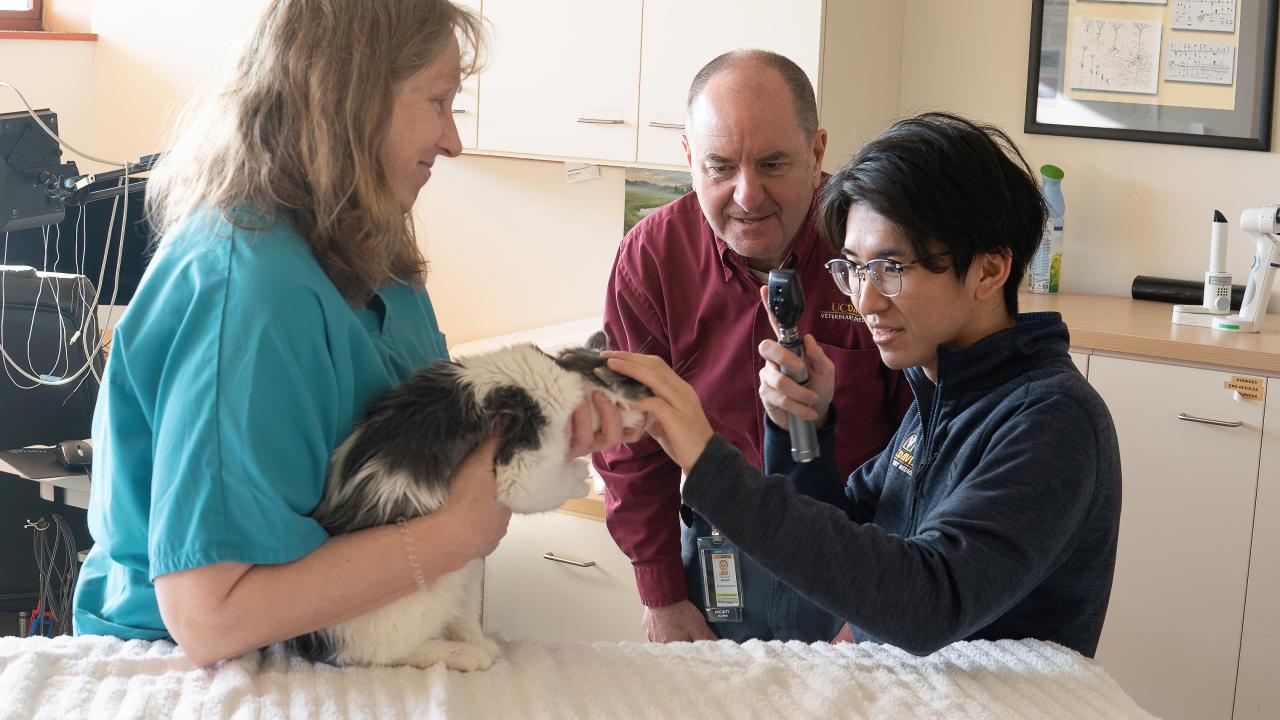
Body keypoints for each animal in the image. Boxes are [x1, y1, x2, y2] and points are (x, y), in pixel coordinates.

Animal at [290, 330, 650, 666]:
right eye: (639, 389)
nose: (649, 415)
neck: (559, 372)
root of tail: (314, 640)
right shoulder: (519, 471)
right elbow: (548, 488)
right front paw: (578, 476)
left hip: (470, 570)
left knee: (462, 619)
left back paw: (482, 645)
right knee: (384, 653)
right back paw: (464, 655)